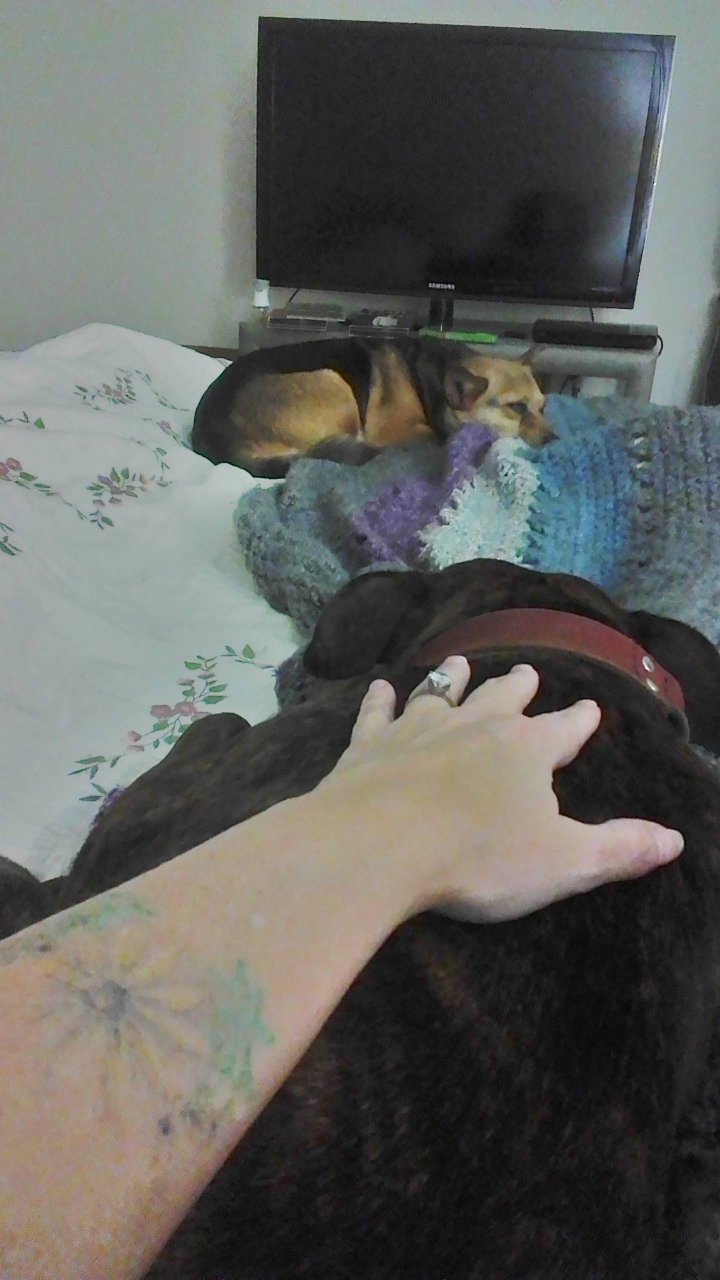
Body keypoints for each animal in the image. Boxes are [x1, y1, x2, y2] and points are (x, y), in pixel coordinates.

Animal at [191, 335, 552, 476]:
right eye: (517, 408)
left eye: (543, 407)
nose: (555, 442)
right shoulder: (393, 431)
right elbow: (433, 435)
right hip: (332, 382)